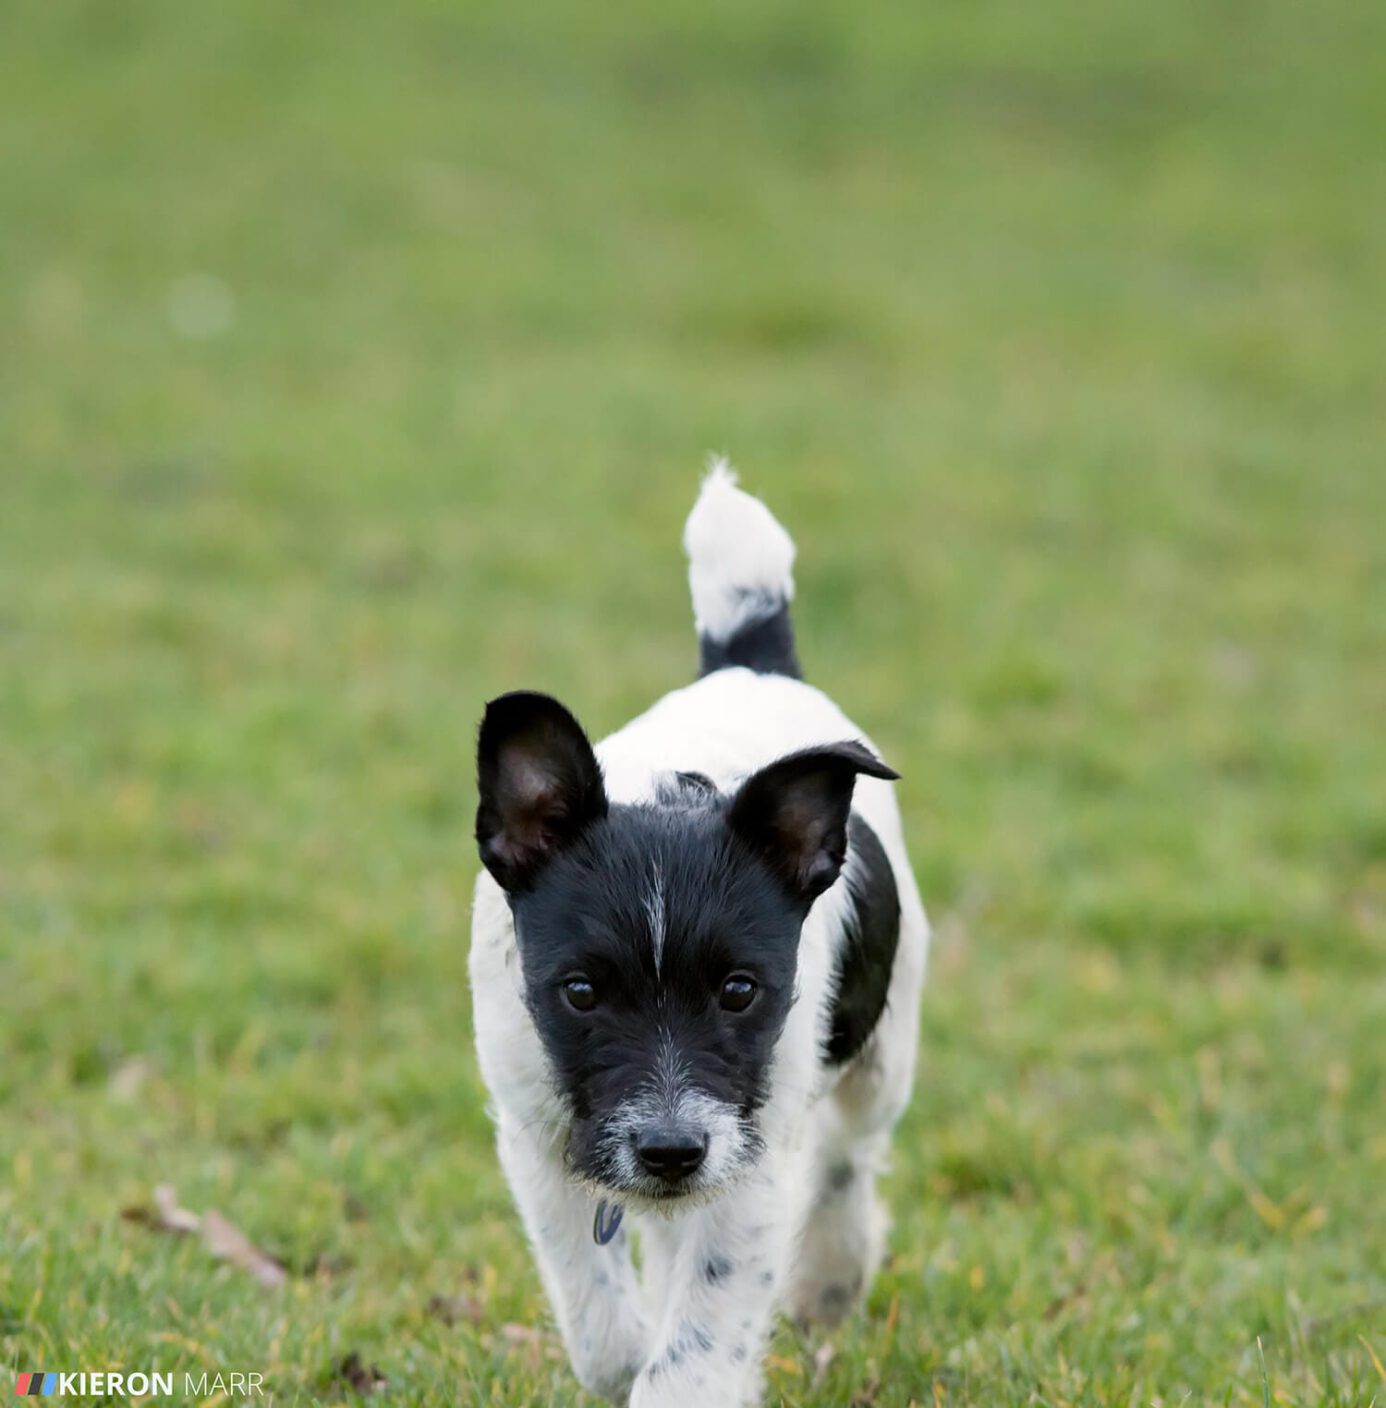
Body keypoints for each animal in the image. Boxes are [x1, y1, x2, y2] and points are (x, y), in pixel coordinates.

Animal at [467, 464, 929, 1408]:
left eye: (739, 992)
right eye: (580, 993)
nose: (671, 1150)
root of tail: (750, 663)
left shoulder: (748, 1163)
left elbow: (696, 1347)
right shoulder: (538, 1138)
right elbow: (603, 1322)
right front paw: (628, 1345)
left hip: (883, 1050)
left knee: (849, 1158)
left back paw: (831, 1278)